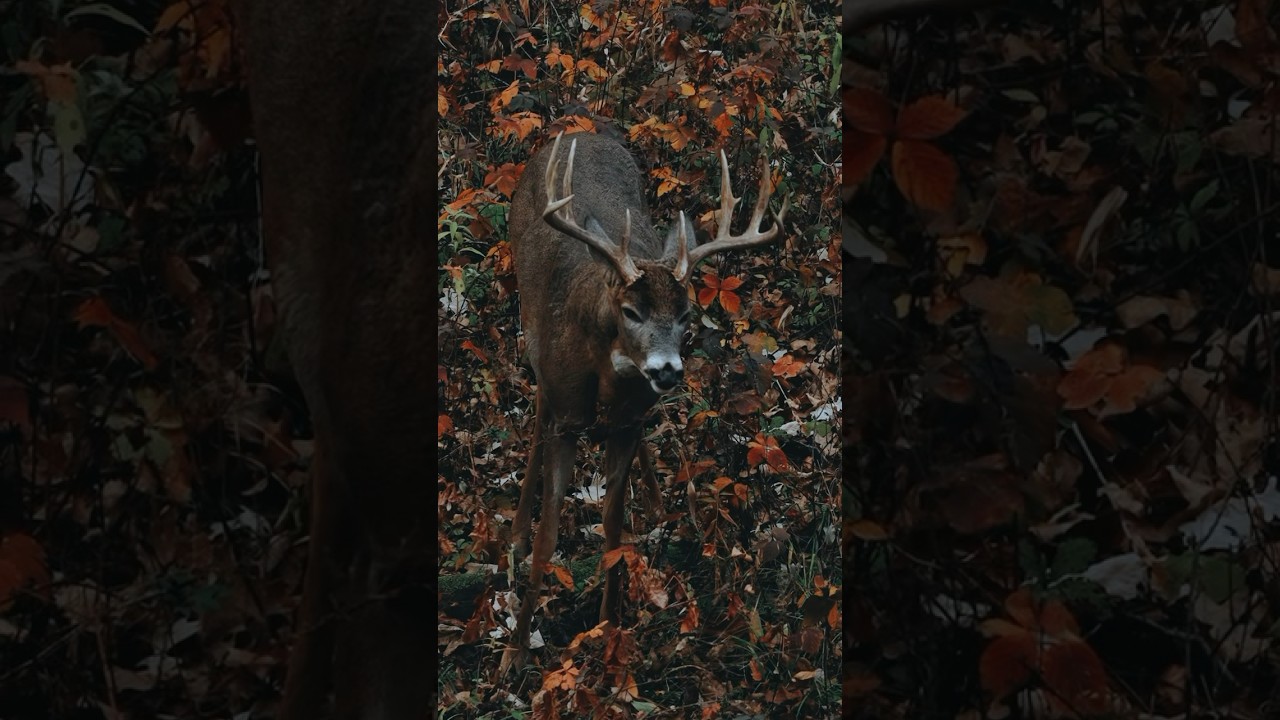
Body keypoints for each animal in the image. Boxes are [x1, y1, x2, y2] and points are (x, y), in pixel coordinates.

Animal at [499, 131, 789, 675]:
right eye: (631, 311)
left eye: (686, 316)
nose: (667, 369)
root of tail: (581, 130)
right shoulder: (566, 416)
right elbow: (550, 531)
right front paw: (516, 649)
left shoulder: (629, 421)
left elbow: (614, 529)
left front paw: (608, 629)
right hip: (532, 338)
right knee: (537, 411)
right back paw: (517, 532)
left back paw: (656, 505)